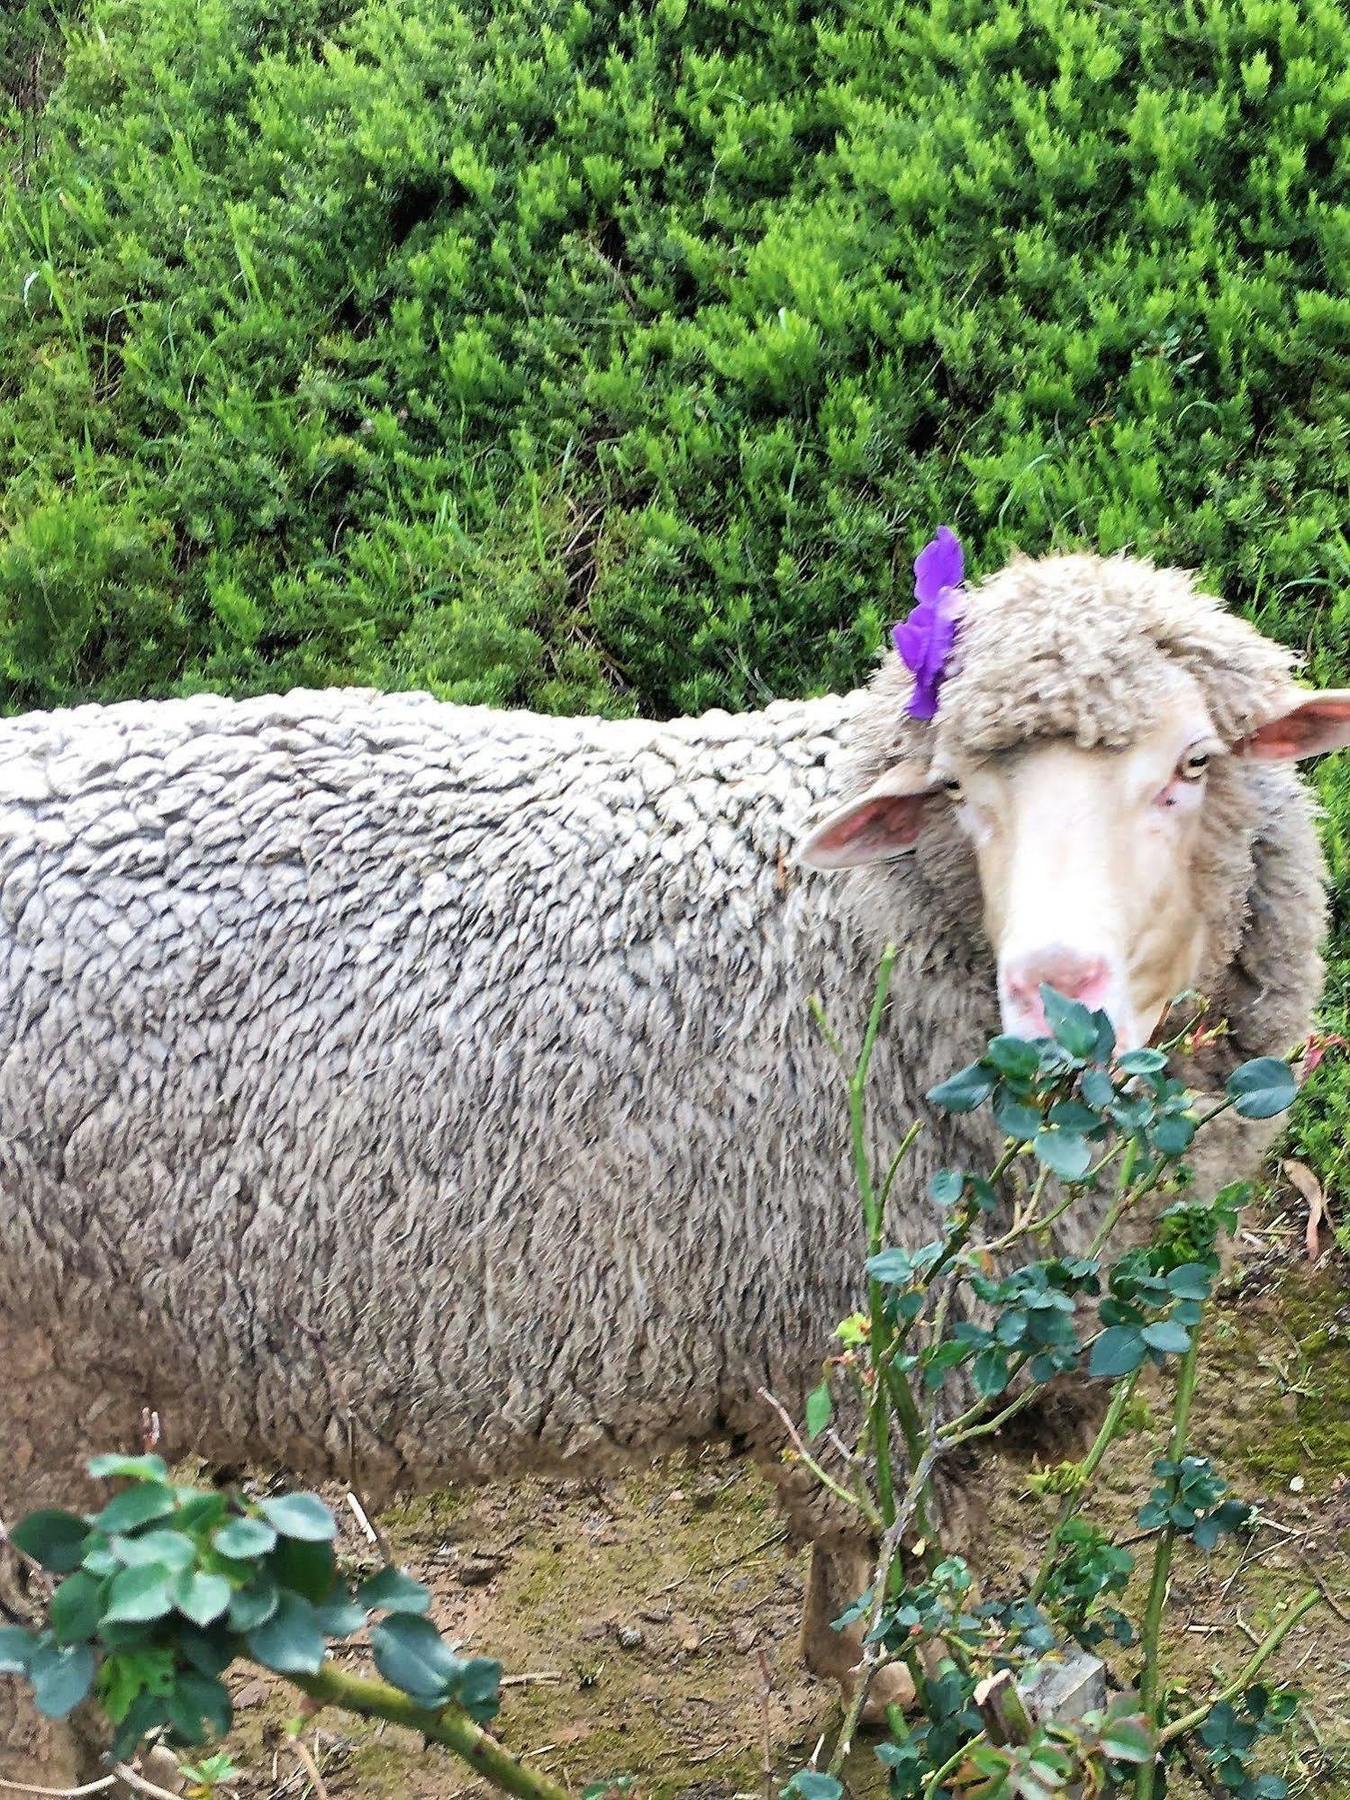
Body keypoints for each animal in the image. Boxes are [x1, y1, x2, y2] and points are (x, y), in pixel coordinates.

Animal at [2, 550, 1350, 1785]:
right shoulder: (880, 1341)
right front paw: (908, 1692)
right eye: (960, 792)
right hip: (42, 1387)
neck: (872, 922)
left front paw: (862, 1679)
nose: (1053, 1008)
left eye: (1194, 765)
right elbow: (890, 1554)